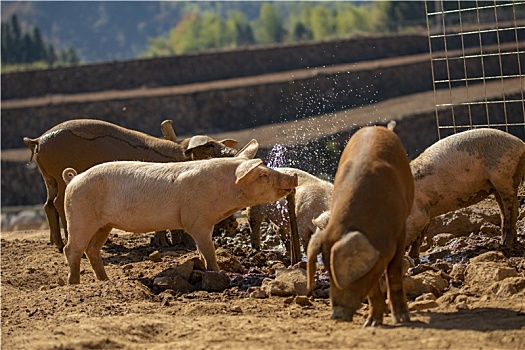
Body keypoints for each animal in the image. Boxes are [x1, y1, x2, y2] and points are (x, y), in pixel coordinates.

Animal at [62, 139, 296, 284]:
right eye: (262, 176)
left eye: (266, 168)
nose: (293, 176)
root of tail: (73, 179)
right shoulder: (197, 220)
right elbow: (208, 251)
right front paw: (219, 274)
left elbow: (202, 251)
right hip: (79, 216)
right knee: (72, 248)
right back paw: (74, 284)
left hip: (104, 224)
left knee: (92, 249)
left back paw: (106, 281)